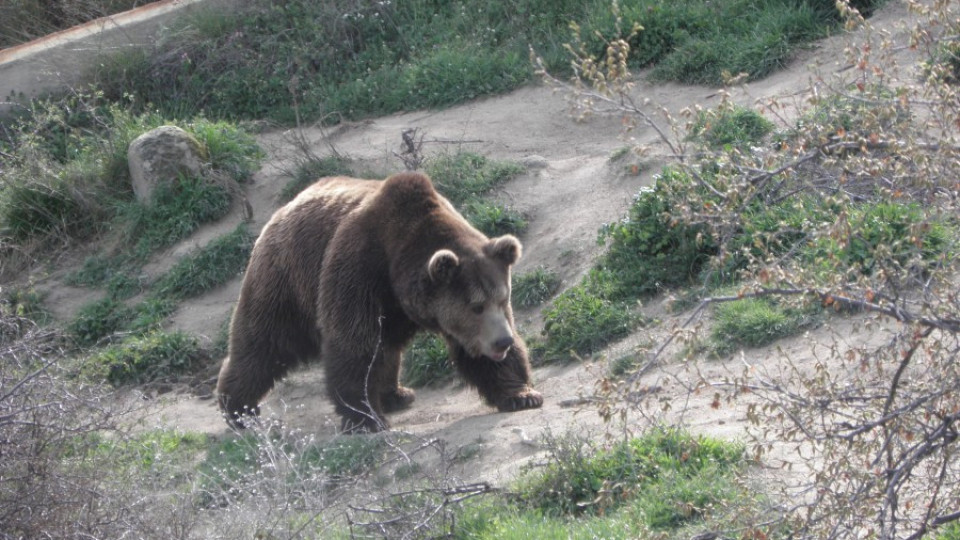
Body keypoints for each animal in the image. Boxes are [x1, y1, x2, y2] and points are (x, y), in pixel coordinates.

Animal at [218, 171, 544, 432]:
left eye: (502, 299)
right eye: (476, 306)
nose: (502, 341)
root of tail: (283, 208)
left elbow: (476, 354)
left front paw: (522, 395)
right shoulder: (359, 269)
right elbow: (354, 344)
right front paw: (366, 418)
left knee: (387, 347)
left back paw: (396, 394)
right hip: (287, 280)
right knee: (264, 342)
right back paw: (238, 409)